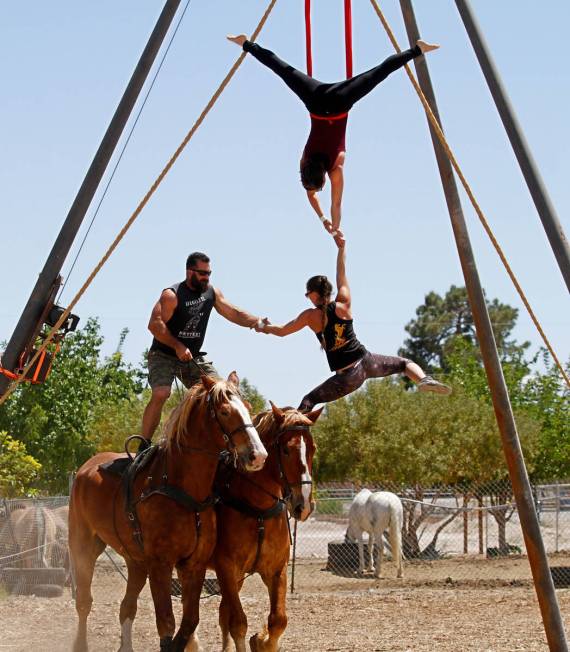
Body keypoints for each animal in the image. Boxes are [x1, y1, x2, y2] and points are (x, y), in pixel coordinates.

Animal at [68, 374, 266, 652]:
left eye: (248, 407)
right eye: (225, 412)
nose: (258, 455)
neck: (182, 488)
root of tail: (85, 469)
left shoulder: (193, 565)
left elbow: (189, 621)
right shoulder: (160, 565)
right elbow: (167, 624)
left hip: (135, 561)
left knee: (127, 607)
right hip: (83, 546)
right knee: (84, 602)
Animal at [209, 402, 320, 652]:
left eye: (313, 449)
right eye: (286, 450)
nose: (303, 505)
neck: (258, 509)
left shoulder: (276, 571)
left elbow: (278, 620)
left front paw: (260, 640)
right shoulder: (226, 569)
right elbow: (238, 622)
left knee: (222, 612)